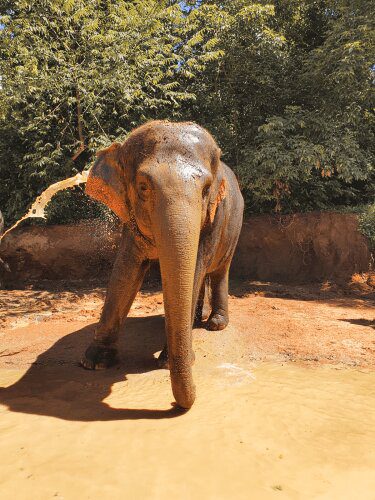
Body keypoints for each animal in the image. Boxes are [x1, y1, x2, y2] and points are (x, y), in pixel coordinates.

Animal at [81, 119, 244, 408]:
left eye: (206, 190)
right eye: (143, 187)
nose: (174, 404)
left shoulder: (213, 220)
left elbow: (195, 269)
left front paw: (167, 361)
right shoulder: (130, 220)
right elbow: (125, 271)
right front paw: (95, 362)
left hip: (234, 225)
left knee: (218, 271)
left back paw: (214, 324)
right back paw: (196, 321)